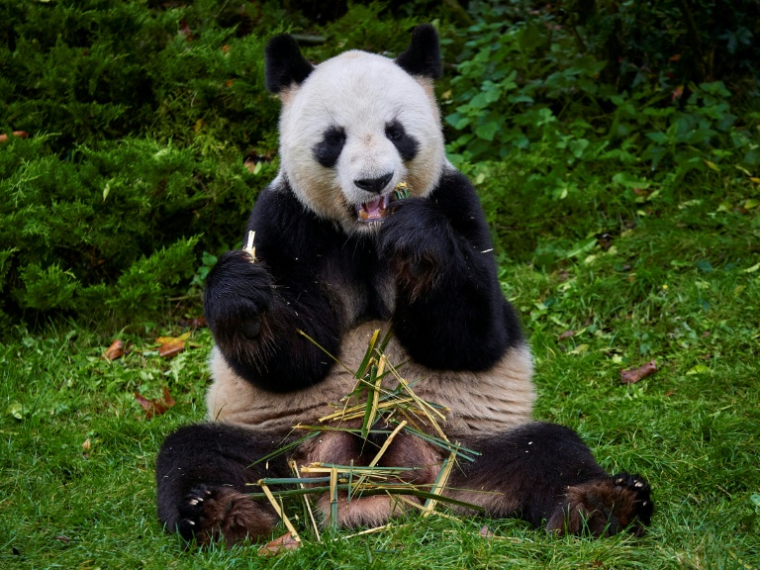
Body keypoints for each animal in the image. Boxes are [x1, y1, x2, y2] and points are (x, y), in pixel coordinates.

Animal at [156, 25, 653, 545]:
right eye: (333, 139)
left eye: (396, 131)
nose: (374, 181)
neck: (368, 236)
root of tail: (384, 483)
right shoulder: (287, 222)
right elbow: (295, 358)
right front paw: (246, 300)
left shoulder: (458, 203)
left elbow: (470, 337)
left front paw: (417, 240)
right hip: (285, 449)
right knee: (197, 453)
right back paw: (219, 512)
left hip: (466, 449)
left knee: (550, 449)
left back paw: (603, 501)